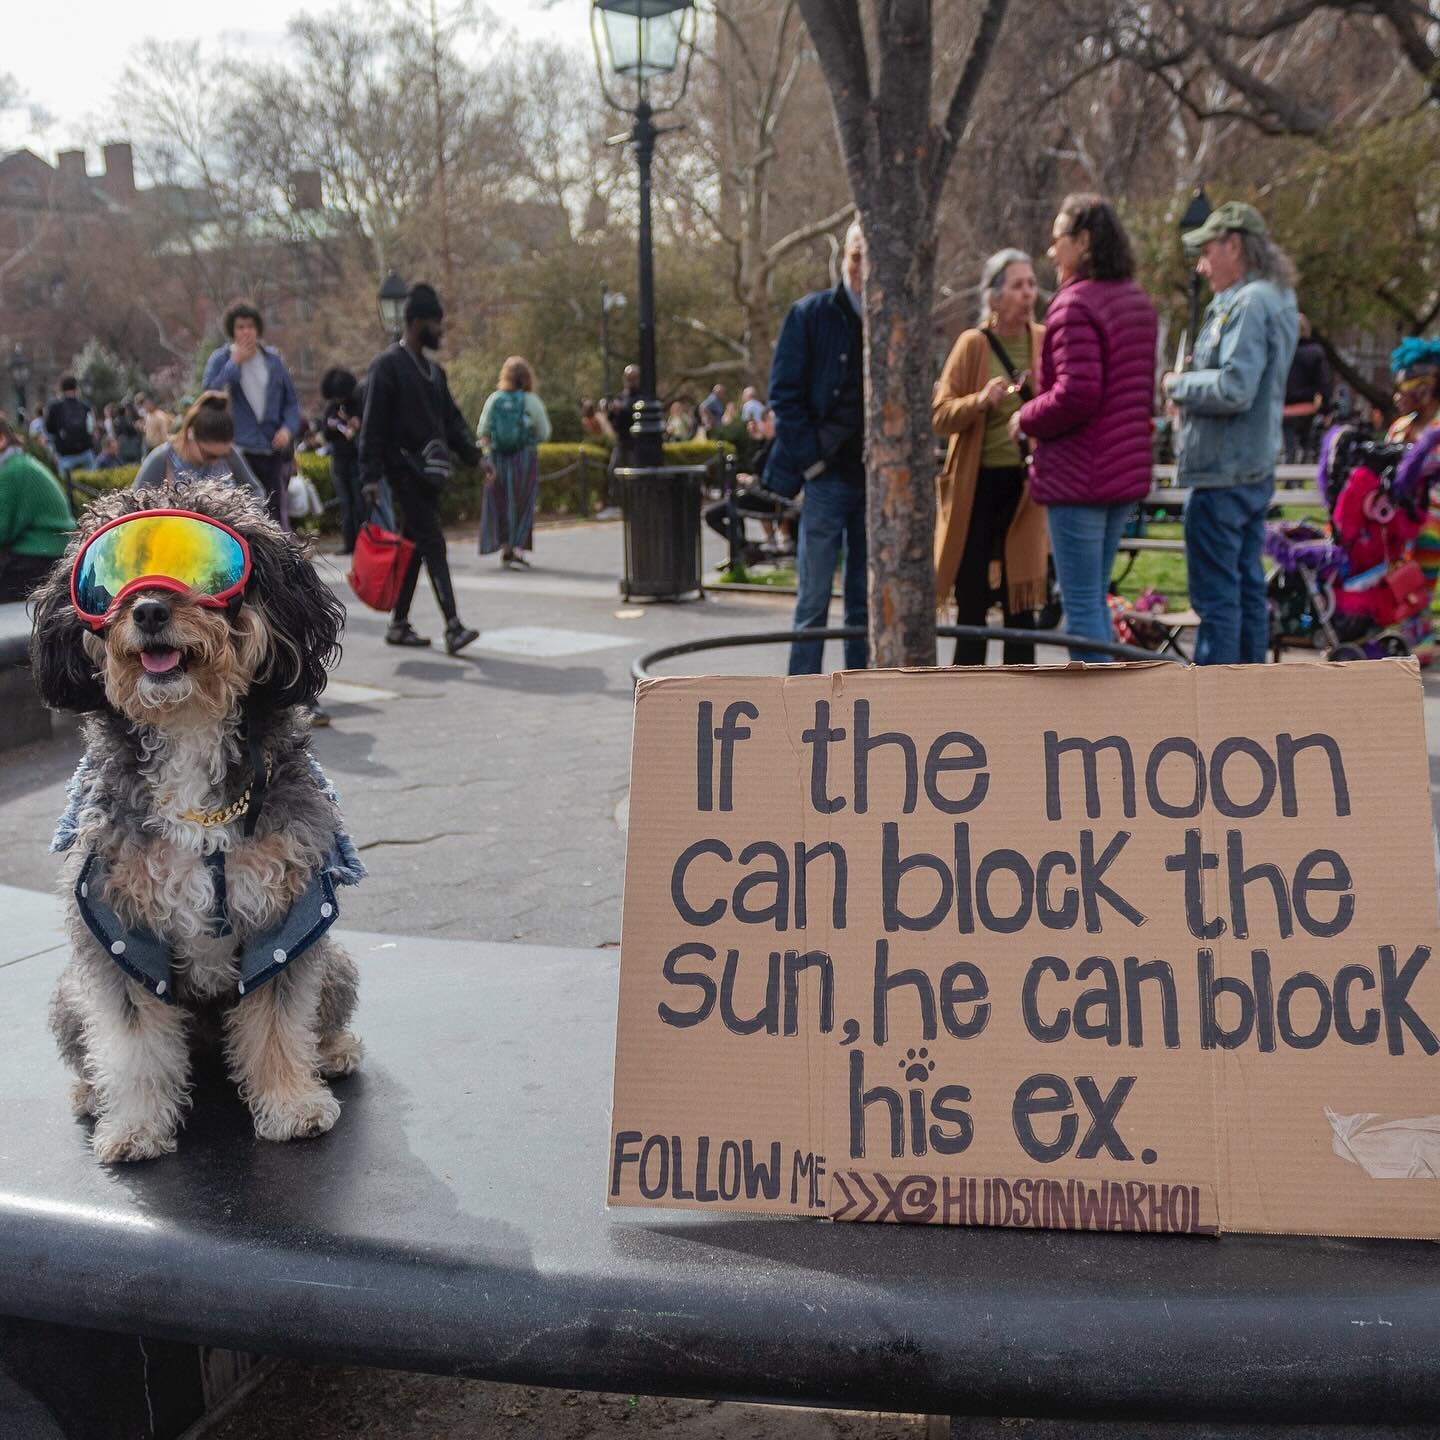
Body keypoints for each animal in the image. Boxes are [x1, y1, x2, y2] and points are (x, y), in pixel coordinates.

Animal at [30, 480, 365, 1157]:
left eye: (212, 569)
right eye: (109, 580)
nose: (150, 610)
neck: (187, 732)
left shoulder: (286, 913)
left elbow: (276, 1020)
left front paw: (291, 1104)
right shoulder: (115, 922)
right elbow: (132, 1040)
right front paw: (134, 1124)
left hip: (337, 965)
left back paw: (334, 1052)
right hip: (68, 995)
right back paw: (90, 1093)